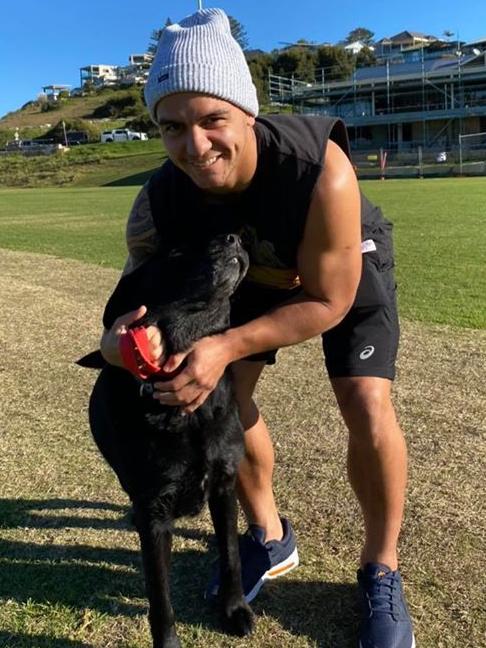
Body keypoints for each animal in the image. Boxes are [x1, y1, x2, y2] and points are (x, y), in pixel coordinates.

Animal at [87, 234, 252, 648]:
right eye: (175, 252)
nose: (233, 237)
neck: (191, 413)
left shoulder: (225, 484)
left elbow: (231, 555)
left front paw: (234, 610)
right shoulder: (155, 510)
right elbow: (159, 593)